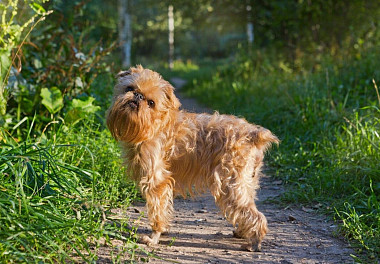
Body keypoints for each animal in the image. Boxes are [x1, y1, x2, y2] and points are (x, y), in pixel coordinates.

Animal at [107, 66, 280, 252]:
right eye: (129, 88)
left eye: (151, 103)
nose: (138, 96)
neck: (153, 125)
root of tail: (253, 134)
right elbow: (164, 207)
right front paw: (163, 230)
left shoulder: (156, 181)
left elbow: (157, 208)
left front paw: (154, 237)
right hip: (246, 182)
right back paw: (243, 232)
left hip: (230, 184)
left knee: (255, 215)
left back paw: (254, 242)